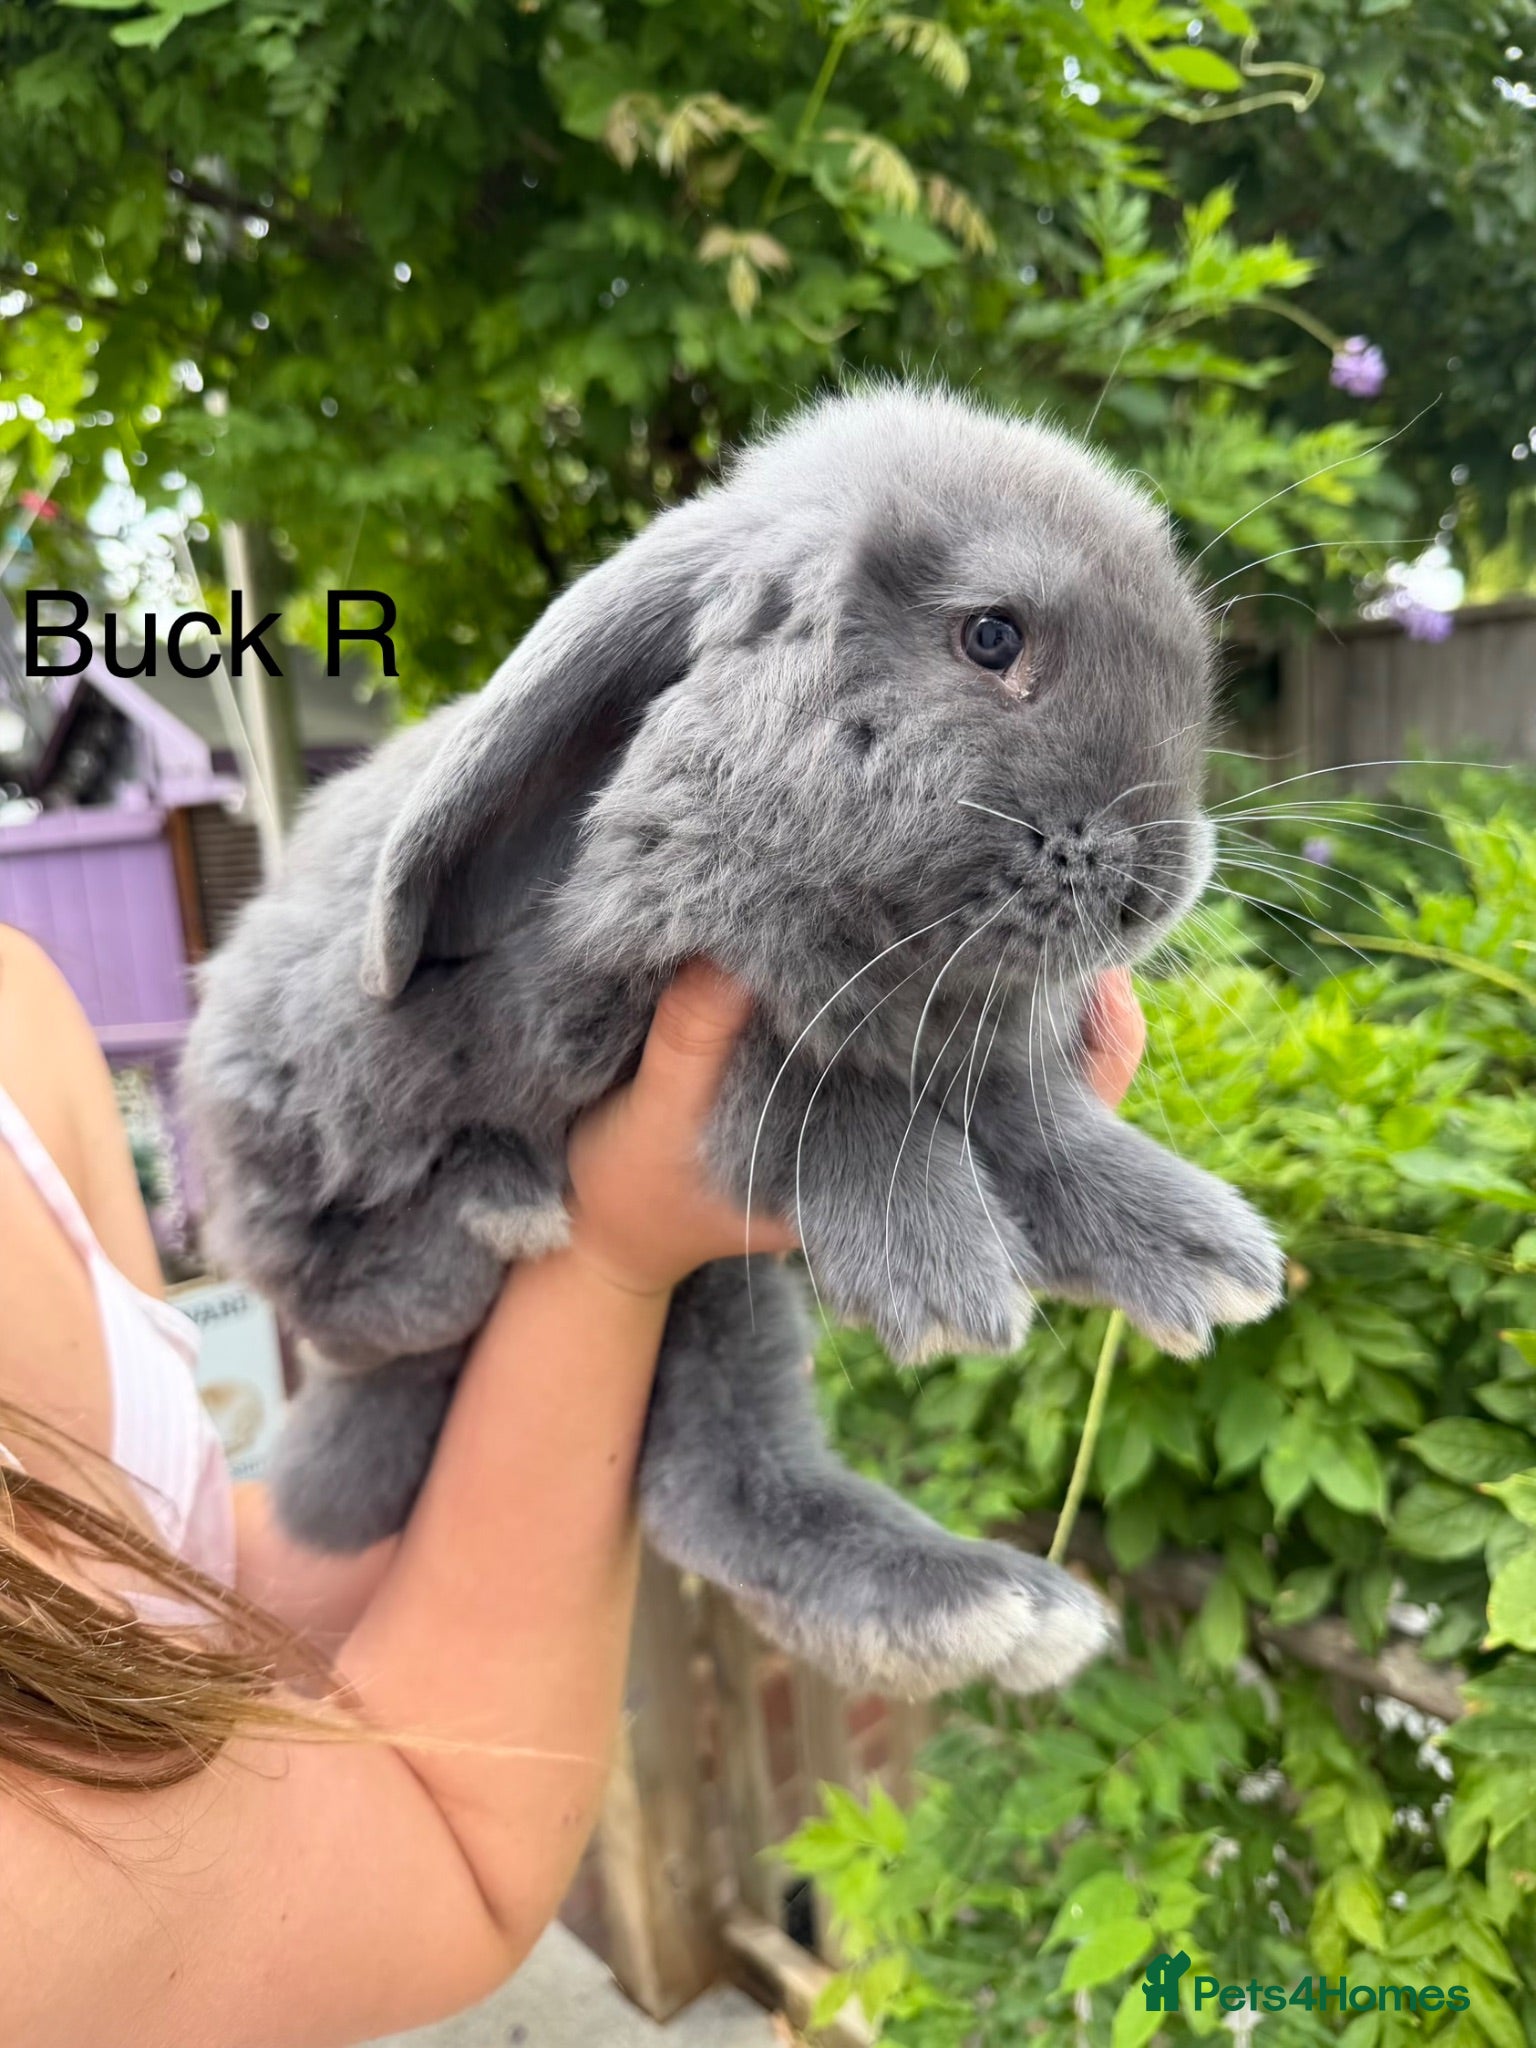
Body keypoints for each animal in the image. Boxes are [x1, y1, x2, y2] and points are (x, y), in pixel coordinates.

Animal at [184, 382, 1284, 1701]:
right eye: (990, 637)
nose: (1156, 888)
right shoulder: (639, 986)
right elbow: (807, 1076)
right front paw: (936, 1267)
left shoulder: (966, 1039)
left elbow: (1029, 1119)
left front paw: (1199, 1252)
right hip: (293, 1112)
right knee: (328, 1284)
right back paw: (489, 1211)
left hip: (712, 1301)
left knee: (712, 1483)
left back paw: (992, 1610)